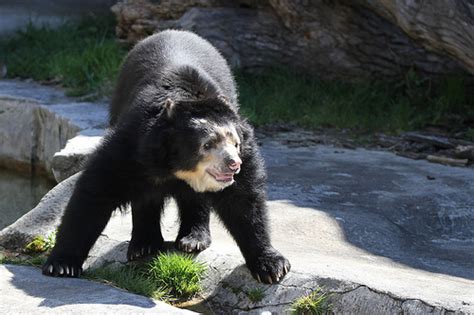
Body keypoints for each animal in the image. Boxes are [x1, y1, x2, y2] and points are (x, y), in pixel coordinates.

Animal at [42, 30, 288, 284]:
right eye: (207, 144)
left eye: (235, 143)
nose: (233, 164)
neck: (176, 166)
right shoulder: (134, 144)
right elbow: (97, 190)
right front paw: (61, 265)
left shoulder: (246, 152)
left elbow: (243, 201)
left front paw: (272, 266)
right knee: (145, 197)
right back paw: (144, 244)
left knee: (193, 197)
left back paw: (192, 239)